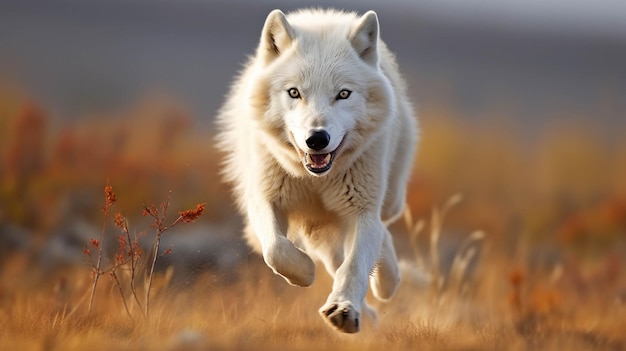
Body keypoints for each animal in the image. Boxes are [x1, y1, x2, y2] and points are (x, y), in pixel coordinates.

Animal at [217, 7, 416, 332]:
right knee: (335, 258)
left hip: (388, 199)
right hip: (317, 226)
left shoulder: (362, 210)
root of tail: (322, 16)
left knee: (379, 233)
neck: (315, 179)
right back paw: (370, 311)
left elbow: (355, 265)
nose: (317, 139)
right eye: (294, 93)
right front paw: (306, 273)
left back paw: (386, 284)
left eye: (343, 94)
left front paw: (344, 309)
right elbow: (276, 249)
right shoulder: (265, 200)